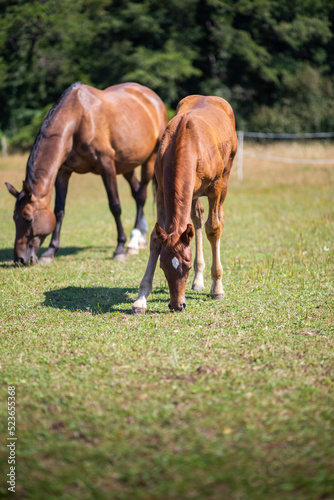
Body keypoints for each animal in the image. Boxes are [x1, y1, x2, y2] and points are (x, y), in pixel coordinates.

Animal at [5, 82, 167, 266]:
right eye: (14, 218)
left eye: (28, 219)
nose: (20, 259)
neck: (78, 119)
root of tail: (152, 97)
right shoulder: (63, 172)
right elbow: (59, 211)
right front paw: (50, 252)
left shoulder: (106, 165)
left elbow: (115, 206)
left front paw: (119, 249)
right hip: (127, 165)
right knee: (137, 193)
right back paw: (140, 239)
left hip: (149, 160)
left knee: (142, 194)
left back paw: (132, 242)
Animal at [132, 94, 239, 312]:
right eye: (163, 266)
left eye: (187, 265)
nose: (177, 305)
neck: (186, 141)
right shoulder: (162, 191)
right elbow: (155, 238)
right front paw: (140, 299)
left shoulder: (215, 187)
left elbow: (213, 228)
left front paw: (217, 288)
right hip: (192, 192)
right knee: (196, 219)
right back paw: (198, 281)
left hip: (226, 176)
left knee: (218, 219)